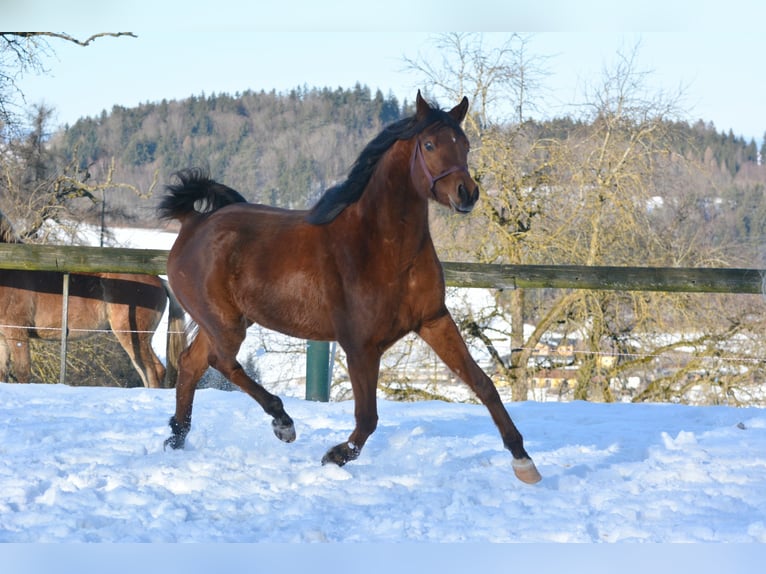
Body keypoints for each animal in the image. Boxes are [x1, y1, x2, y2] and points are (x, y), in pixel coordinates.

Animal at [0, 212, 186, 388]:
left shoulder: (17, 333)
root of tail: (159, 281)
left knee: (154, 371)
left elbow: (23, 372)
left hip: (134, 336)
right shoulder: (2, 339)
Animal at [159, 92, 541, 484]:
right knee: (220, 361)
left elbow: (483, 384)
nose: (467, 193)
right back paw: (282, 422)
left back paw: (177, 438)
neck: (383, 248)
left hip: (225, 321)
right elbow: (368, 417)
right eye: (430, 144)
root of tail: (194, 222)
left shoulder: (434, 320)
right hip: (224, 322)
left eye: (464, 144)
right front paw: (335, 455)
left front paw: (523, 460)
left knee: (191, 363)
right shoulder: (360, 345)